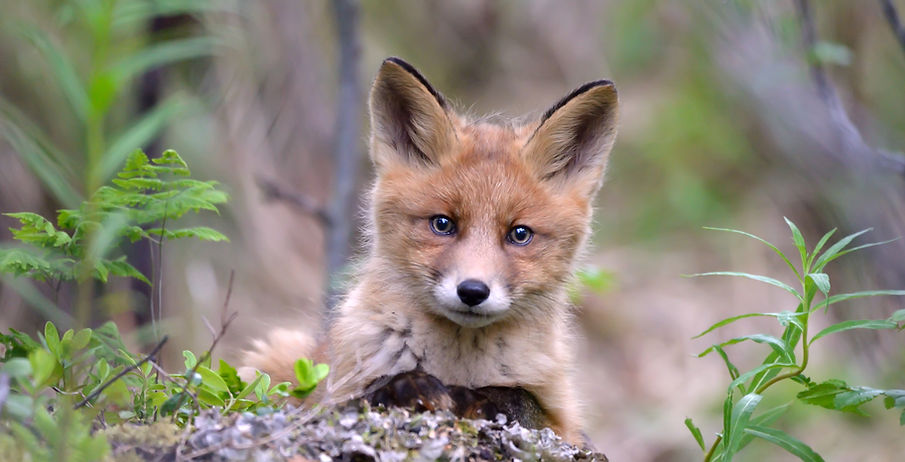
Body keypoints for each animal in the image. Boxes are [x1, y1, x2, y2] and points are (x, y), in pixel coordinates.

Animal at [242, 57, 618, 444]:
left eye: (519, 234)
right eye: (442, 224)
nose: (472, 291)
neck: (456, 366)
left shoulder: (565, 424)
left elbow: (519, 398)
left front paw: (478, 398)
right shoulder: (332, 396)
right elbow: (369, 391)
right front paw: (407, 387)